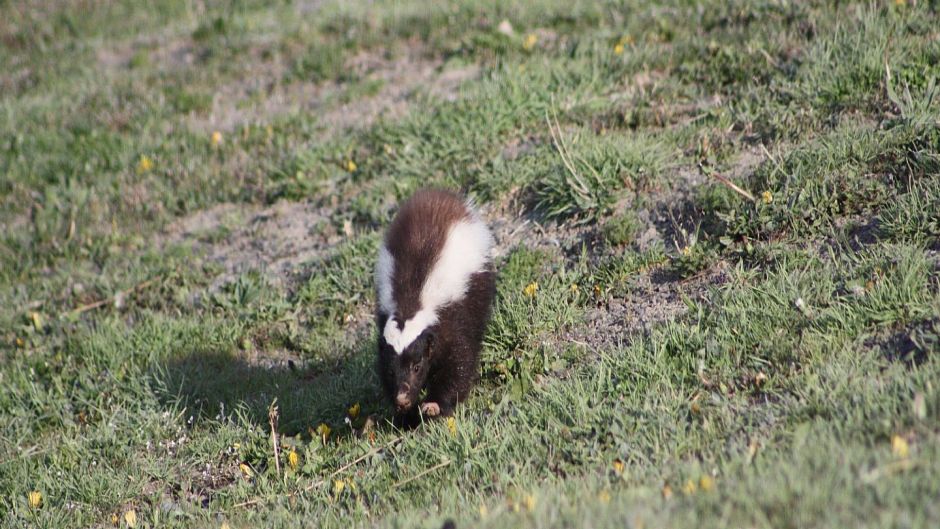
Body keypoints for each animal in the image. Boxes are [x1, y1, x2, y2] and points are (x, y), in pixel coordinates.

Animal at [372, 188, 496, 426]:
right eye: (392, 371)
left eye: (417, 366)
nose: (402, 398)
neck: (410, 304)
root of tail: (437, 195)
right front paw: (406, 414)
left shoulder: (453, 317)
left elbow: (459, 362)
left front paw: (434, 405)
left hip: (479, 281)